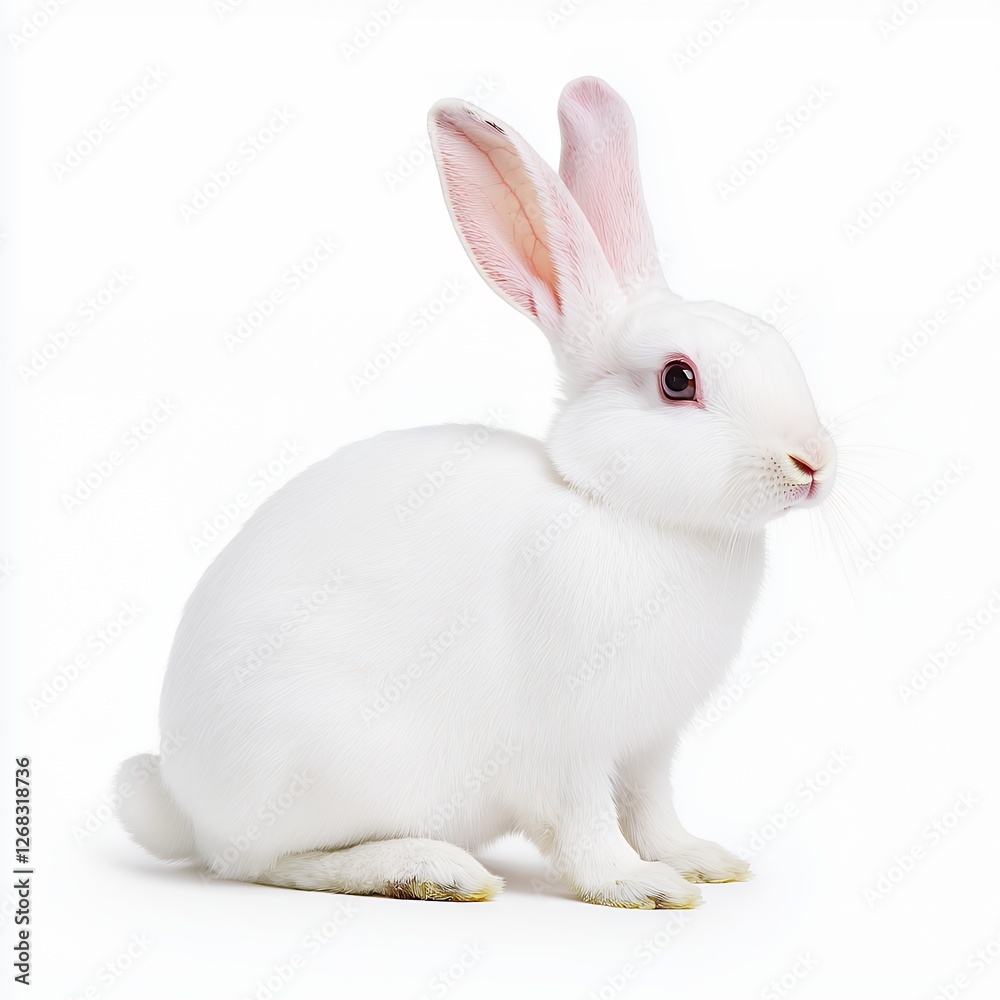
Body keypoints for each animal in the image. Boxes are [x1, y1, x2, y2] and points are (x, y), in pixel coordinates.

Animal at [117, 76, 835, 909]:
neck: (625, 510)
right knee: (265, 863)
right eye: (677, 381)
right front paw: (638, 887)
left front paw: (700, 861)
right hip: (327, 768)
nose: (814, 463)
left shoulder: (650, 741)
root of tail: (183, 802)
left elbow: (653, 809)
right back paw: (428, 870)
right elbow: (590, 825)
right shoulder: (572, 741)